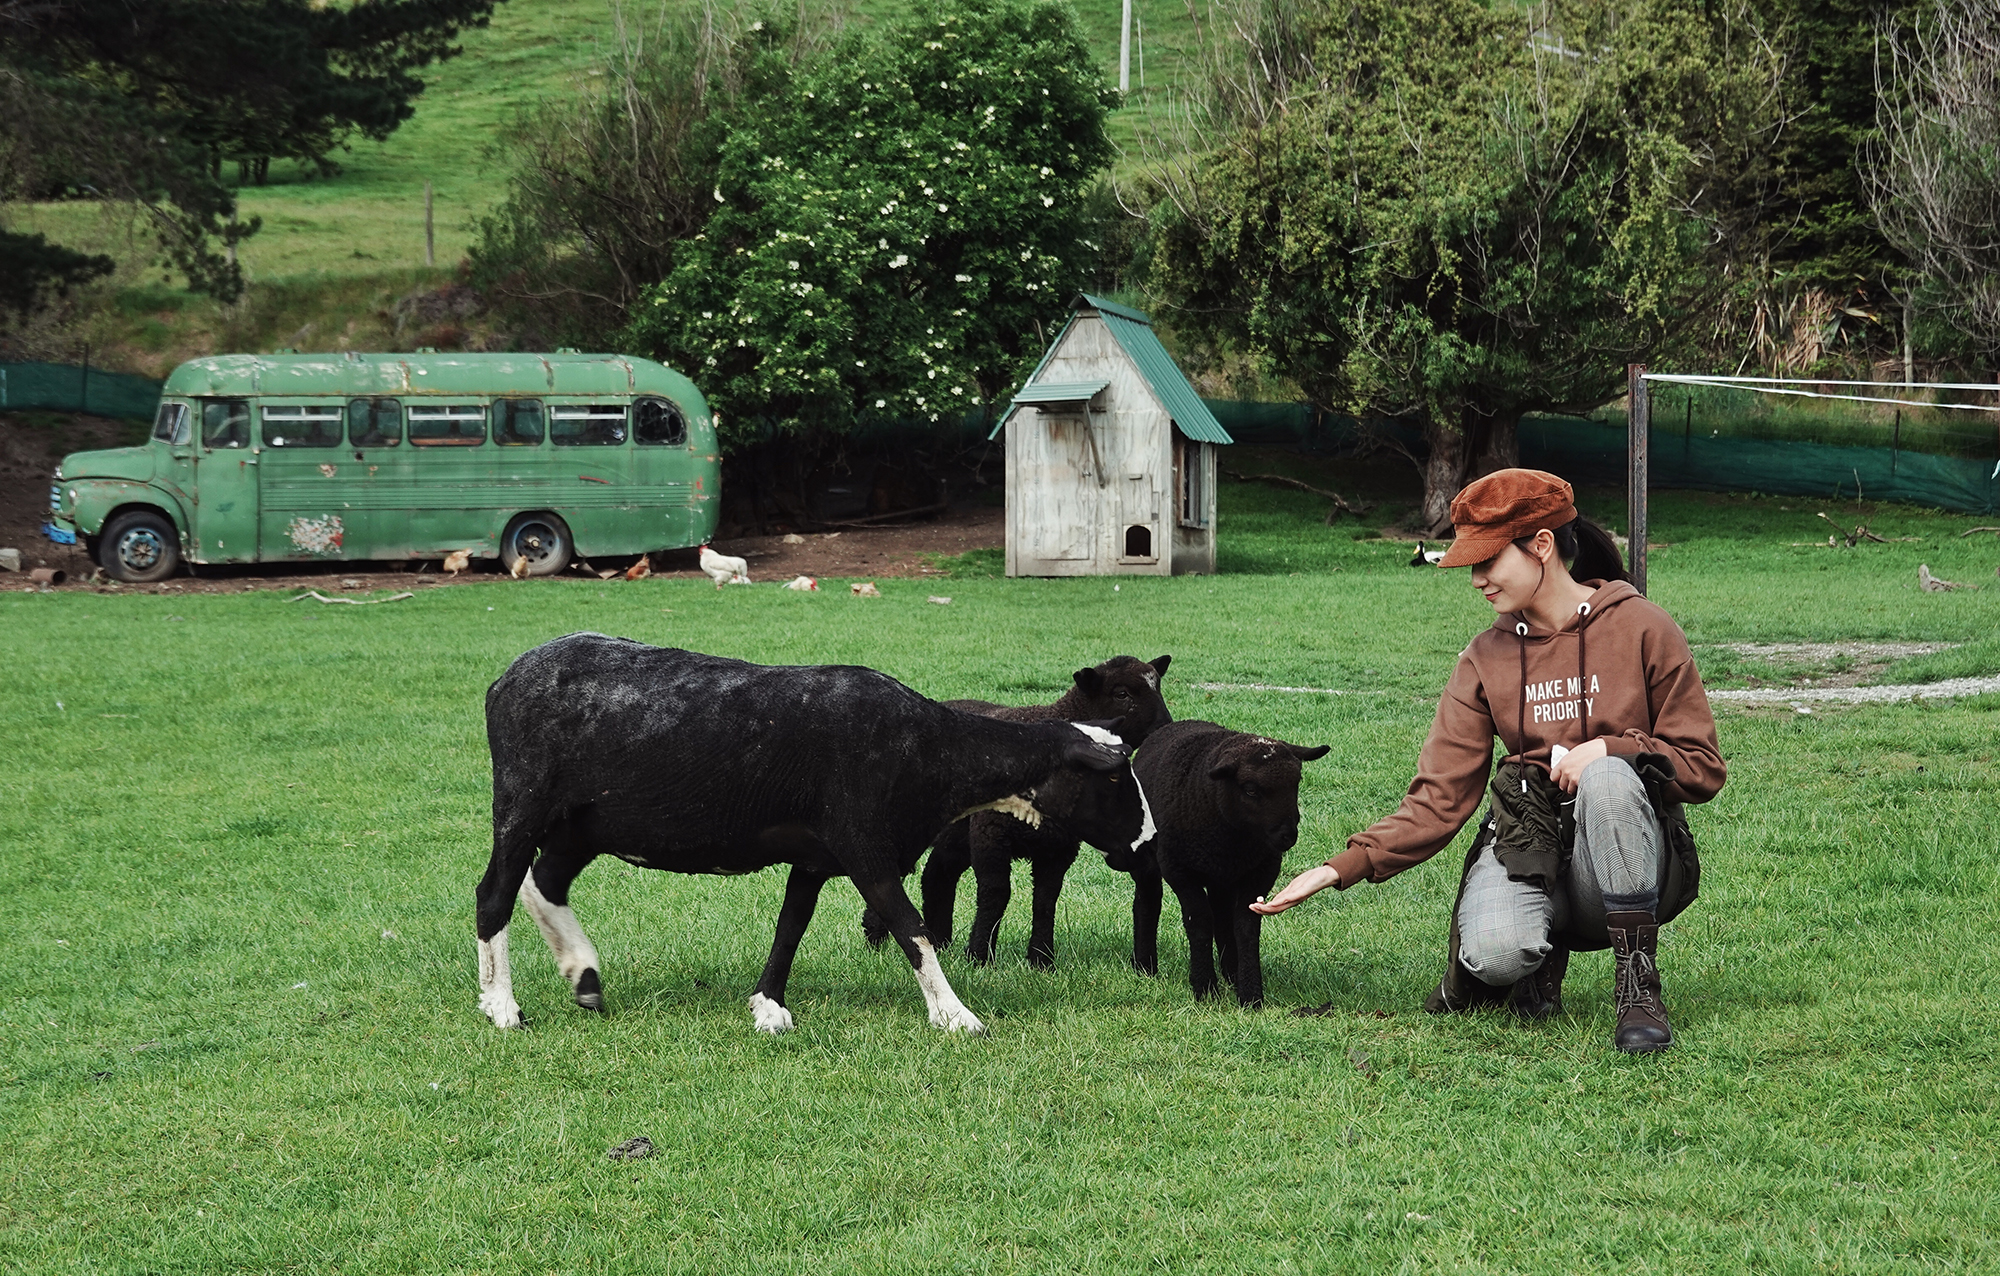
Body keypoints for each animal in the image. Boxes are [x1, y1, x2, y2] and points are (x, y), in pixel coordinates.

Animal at [860, 660, 1168, 968]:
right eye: (1121, 694)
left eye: (1158, 685)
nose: (1165, 725)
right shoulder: (990, 835)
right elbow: (996, 894)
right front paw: (980, 956)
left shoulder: (1059, 847)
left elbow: (1045, 899)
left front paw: (1042, 959)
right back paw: (876, 939)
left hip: (956, 837)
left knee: (938, 874)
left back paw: (940, 941)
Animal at [1144, 720, 1328, 1008]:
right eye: (1250, 789)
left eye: (1296, 784)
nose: (1287, 836)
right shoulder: (1178, 870)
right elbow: (1199, 922)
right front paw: (1205, 988)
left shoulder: (1261, 870)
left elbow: (1245, 926)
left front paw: (1250, 994)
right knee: (1148, 899)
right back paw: (1144, 966)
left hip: (1223, 878)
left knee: (1222, 916)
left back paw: (1230, 972)